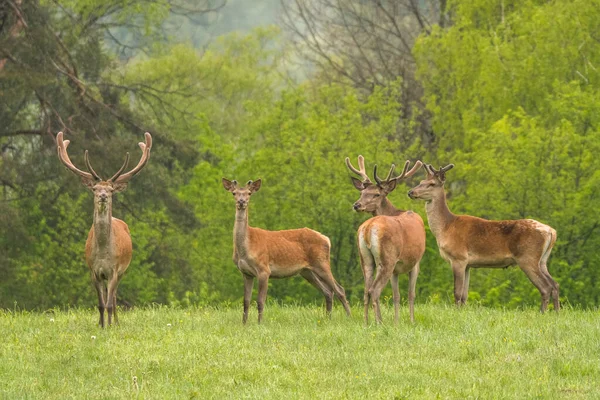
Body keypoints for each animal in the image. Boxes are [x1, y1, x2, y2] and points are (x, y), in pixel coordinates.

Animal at [57, 133, 152, 326]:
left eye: (111, 190)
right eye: (95, 188)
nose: (102, 196)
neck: (102, 253)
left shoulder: (114, 270)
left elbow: (108, 303)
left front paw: (109, 326)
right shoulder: (94, 271)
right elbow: (100, 304)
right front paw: (100, 325)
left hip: (122, 271)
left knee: (114, 298)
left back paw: (116, 322)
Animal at [223, 180, 350, 324]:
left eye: (249, 193)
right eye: (234, 193)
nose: (241, 201)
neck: (246, 247)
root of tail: (326, 239)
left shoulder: (264, 269)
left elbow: (260, 301)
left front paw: (259, 323)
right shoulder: (246, 273)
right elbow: (246, 301)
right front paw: (244, 324)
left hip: (322, 262)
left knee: (339, 289)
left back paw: (349, 317)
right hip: (306, 271)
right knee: (328, 291)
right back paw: (327, 319)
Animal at [344, 155, 424, 324]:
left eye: (376, 194)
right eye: (362, 193)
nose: (357, 205)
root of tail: (368, 228)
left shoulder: (396, 269)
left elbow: (396, 295)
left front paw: (396, 322)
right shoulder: (416, 262)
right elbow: (410, 294)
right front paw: (411, 321)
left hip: (365, 259)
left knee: (366, 290)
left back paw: (366, 322)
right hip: (387, 258)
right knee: (374, 290)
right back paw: (378, 323)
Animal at [408, 163, 556, 312]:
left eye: (432, 184)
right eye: (421, 181)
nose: (411, 192)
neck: (445, 228)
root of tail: (551, 231)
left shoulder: (458, 257)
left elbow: (457, 292)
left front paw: (456, 311)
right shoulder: (468, 264)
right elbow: (464, 295)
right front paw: (463, 312)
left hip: (527, 257)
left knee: (546, 287)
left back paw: (543, 312)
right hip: (542, 260)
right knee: (555, 284)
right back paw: (556, 311)